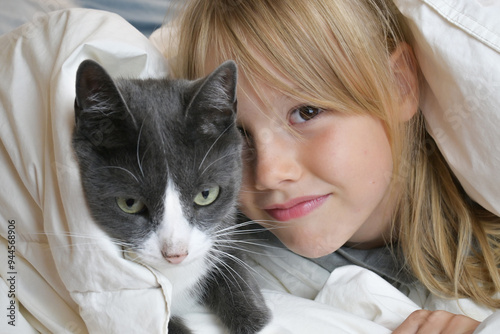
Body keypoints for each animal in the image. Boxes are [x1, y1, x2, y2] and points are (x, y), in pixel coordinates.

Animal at [71, 58, 270, 332]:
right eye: (130, 203)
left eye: (206, 194)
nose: (176, 254)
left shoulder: (225, 227)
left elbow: (231, 259)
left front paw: (254, 317)